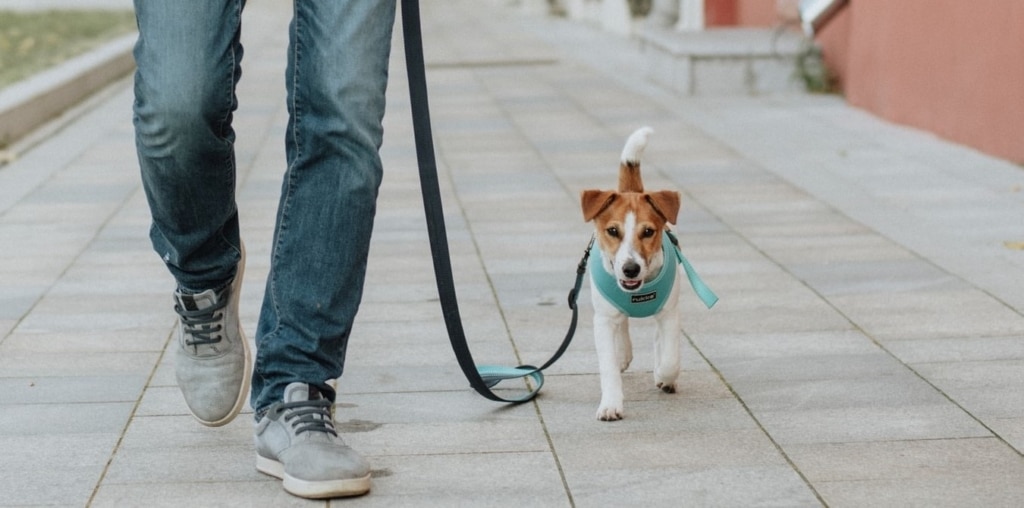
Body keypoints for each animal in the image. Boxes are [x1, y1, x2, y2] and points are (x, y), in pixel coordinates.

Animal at [581, 127, 684, 419]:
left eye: (648, 231)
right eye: (612, 231)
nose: (630, 269)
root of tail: (630, 191)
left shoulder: (669, 313)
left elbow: (670, 357)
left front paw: (663, 375)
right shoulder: (603, 320)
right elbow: (608, 367)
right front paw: (610, 404)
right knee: (623, 324)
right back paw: (623, 354)